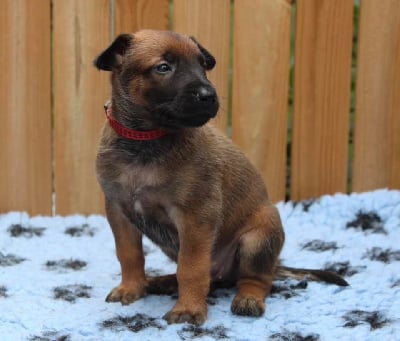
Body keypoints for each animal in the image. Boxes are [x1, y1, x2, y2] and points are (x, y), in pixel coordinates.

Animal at [94, 30, 346, 326]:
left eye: (202, 65)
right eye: (163, 67)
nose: (209, 95)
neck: (145, 142)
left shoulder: (196, 216)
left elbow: (191, 267)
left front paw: (189, 308)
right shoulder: (119, 211)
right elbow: (129, 254)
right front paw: (131, 288)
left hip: (257, 241)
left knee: (258, 279)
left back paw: (248, 299)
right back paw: (161, 282)